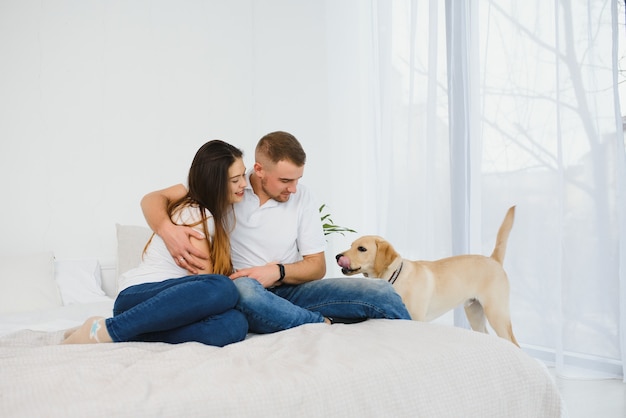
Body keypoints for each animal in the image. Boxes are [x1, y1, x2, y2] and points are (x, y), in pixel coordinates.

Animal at [336, 206, 516, 346]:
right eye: (351, 245)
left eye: (362, 249)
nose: (337, 256)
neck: (393, 278)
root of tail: (493, 260)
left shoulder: (416, 320)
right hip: (474, 313)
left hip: (496, 313)